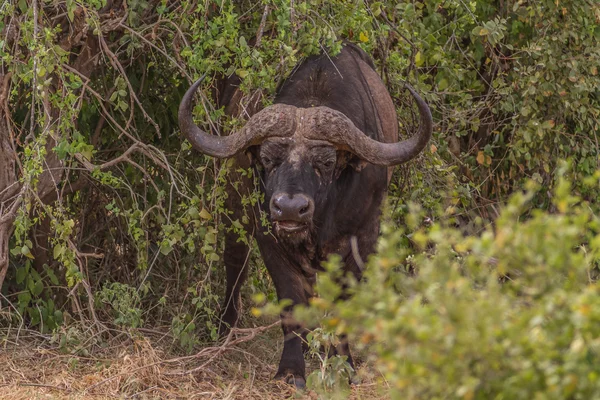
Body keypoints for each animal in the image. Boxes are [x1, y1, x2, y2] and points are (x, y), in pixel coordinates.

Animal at [178, 43, 432, 388]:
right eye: (268, 159)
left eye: (325, 162)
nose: (289, 208)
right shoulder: (270, 238)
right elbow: (291, 302)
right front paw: (290, 369)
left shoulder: (363, 237)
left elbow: (341, 305)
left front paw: (343, 365)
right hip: (233, 204)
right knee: (235, 261)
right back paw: (226, 327)